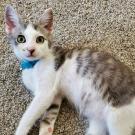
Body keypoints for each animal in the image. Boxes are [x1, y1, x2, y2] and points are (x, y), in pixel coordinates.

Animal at [4, 4, 135, 135]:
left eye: (40, 39)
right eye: (21, 39)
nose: (30, 49)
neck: (32, 65)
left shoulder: (45, 92)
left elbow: (28, 116)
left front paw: (20, 131)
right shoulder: (55, 95)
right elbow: (50, 115)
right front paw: (46, 129)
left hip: (118, 117)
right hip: (99, 121)